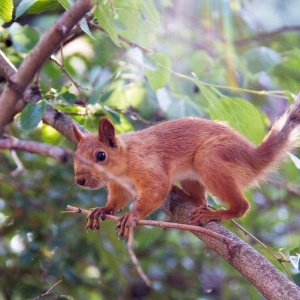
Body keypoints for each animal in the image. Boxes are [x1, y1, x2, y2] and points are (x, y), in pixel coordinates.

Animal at [72, 99, 300, 239]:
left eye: (101, 155)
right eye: (75, 154)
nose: (79, 181)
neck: (125, 160)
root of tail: (253, 157)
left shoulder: (147, 164)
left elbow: (157, 189)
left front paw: (132, 215)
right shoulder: (120, 186)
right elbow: (119, 199)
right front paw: (103, 209)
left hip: (209, 158)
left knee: (242, 206)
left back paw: (216, 214)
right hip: (192, 175)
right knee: (200, 200)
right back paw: (185, 195)